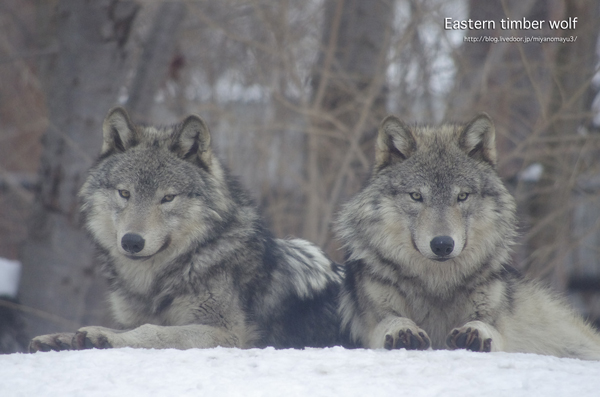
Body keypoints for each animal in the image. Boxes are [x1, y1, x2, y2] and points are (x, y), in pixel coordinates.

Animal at [29, 107, 342, 350]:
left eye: (168, 198)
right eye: (125, 193)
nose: (132, 241)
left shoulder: (226, 333)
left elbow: (154, 331)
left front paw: (105, 338)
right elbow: (131, 326)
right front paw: (62, 339)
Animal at [336, 112, 600, 358]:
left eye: (462, 196)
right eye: (416, 196)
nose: (442, 244)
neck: (436, 283)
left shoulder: (495, 321)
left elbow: (485, 326)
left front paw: (475, 333)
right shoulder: (375, 318)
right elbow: (391, 320)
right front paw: (403, 331)